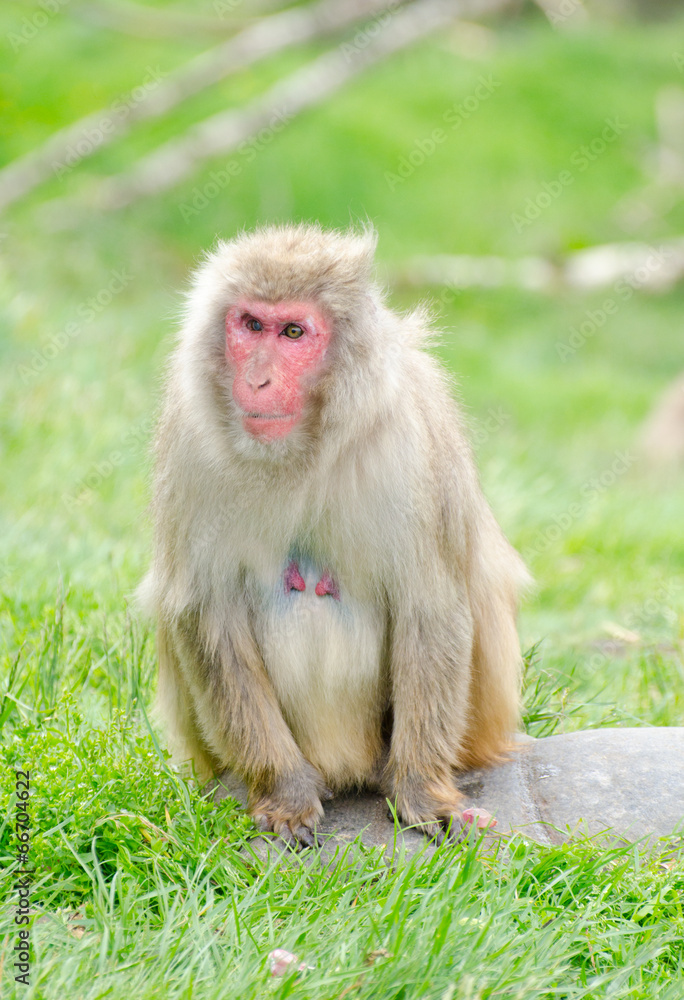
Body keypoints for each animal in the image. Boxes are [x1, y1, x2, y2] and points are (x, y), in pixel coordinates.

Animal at [139, 225, 532, 844]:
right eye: (251, 325)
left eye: (294, 332)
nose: (256, 378)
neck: (308, 446)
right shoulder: (189, 440)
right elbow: (207, 609)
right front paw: (284, 791)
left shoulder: (410, 441)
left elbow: (430, 606)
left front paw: (423, 793)